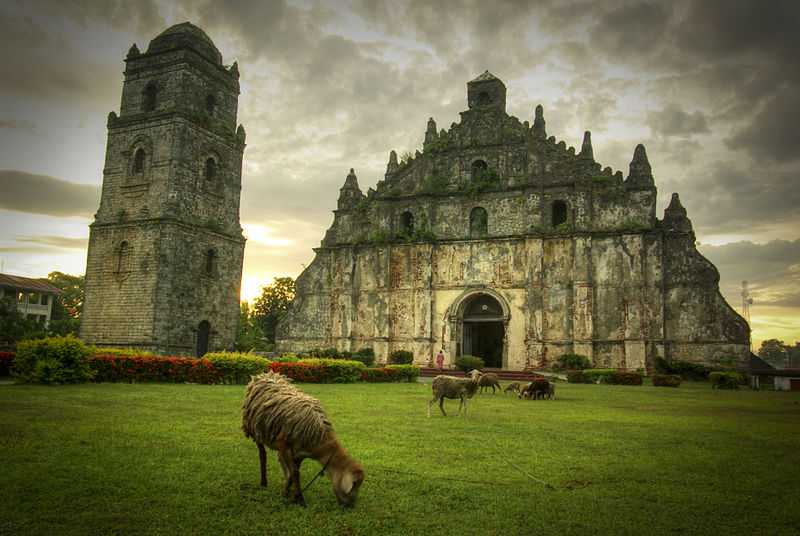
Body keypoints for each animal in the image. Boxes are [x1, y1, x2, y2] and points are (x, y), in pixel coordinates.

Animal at [238, 372, 362, 506]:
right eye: (354, 486)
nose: (350, 506)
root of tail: (265, 375)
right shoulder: (285, 446)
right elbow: (295, 473)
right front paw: (300, 499)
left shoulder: (299, 453)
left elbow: (293, 473)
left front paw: (288, 494)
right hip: (256, 430)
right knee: (262, 455)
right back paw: (263, 482)